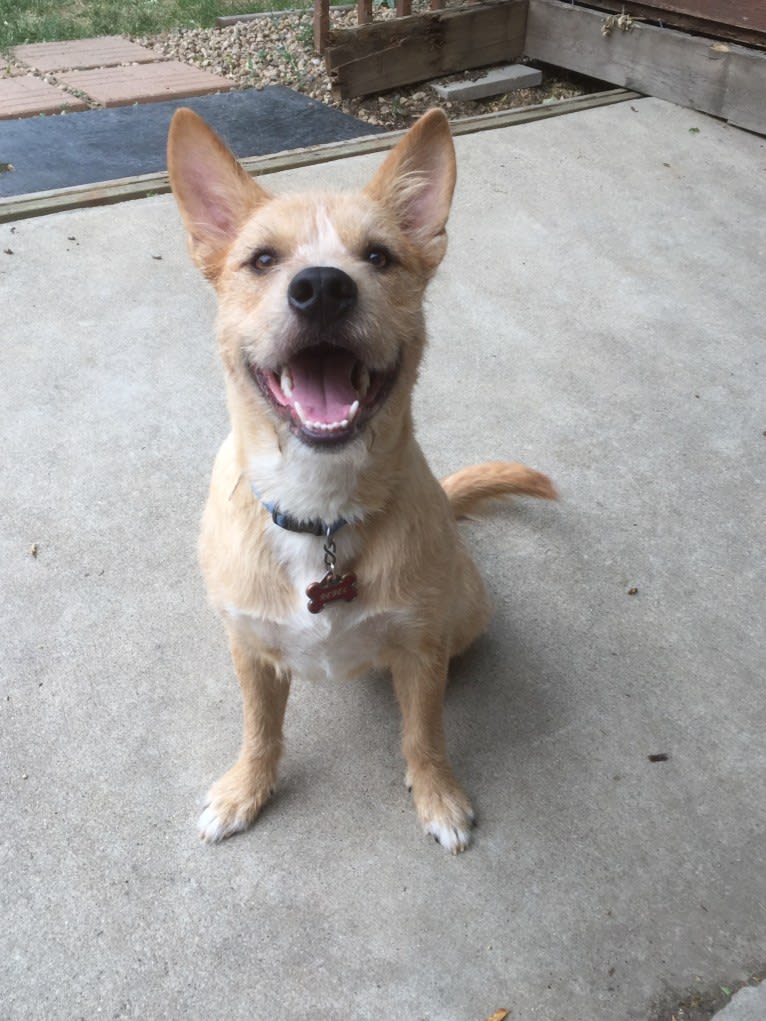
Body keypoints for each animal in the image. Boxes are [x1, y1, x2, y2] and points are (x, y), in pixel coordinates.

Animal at [167, 107, 555, 849]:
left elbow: (424, 732)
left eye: (378, 257)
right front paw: (245, 790)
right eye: (262, 259)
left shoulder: (420, 646)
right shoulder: (249, 648)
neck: (319, 509)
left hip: (466, 610)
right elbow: (261, 730)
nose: (323, 287)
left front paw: (437, 794)